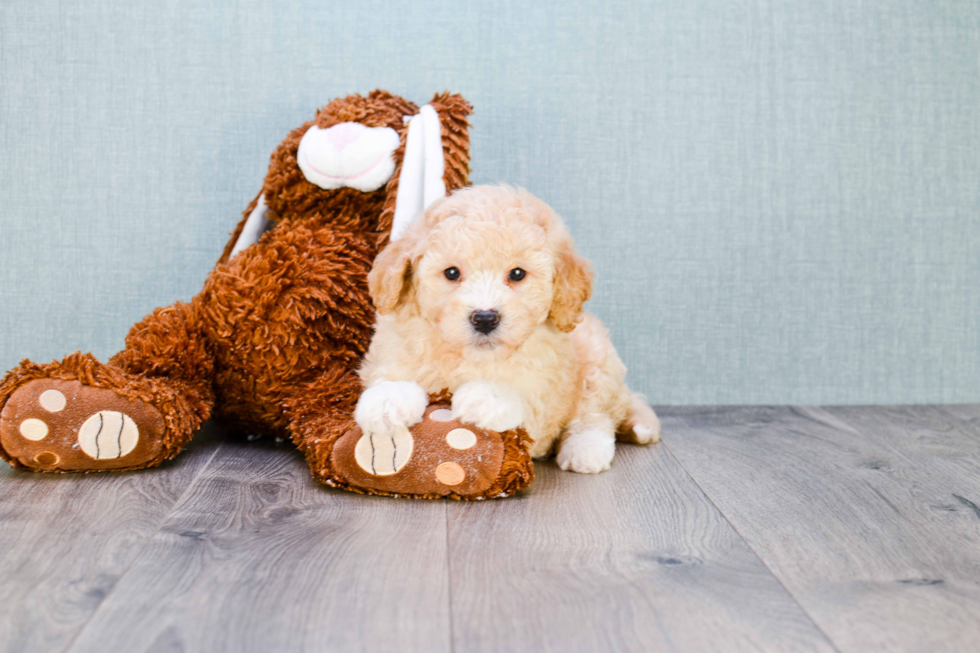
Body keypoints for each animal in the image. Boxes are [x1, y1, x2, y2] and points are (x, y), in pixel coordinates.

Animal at [352, 186, 660, 472]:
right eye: (451, 273)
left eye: (517, 274)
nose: (485, 318)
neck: (472, 357)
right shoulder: (395, 344)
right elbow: (391, 373)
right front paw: (386, 401)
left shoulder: (544, 396)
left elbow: (523, 401)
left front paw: (485, 397)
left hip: (599, 362)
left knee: (595, 415)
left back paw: (586, 449)